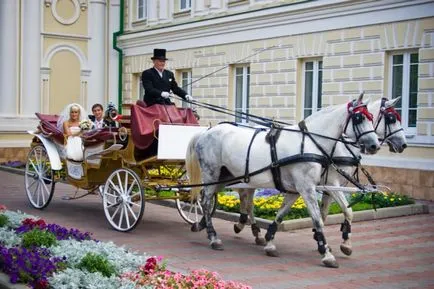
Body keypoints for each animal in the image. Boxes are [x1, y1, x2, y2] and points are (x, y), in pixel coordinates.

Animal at [186, 94, 380, 268]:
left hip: (226, 176)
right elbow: (317, 219)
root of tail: (206, 131)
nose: (375, 145)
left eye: (372, 118)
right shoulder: (307, 188)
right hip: (211, 173)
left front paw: (269, 242)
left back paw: (203, 225)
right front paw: (326, 253)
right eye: (359, 117)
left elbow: (281, 214)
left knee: (213, 198)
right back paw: (213, 237)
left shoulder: (297, 189)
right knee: (206, 200)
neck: (310, 142)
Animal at [234, 97, 406, 256]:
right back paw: (247, 226)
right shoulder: (332, 182)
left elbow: (323, 213)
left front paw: (322, 240)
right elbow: (346, 210)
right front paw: (342, 244)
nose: (403, 144)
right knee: (247, 200)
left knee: (246, 199)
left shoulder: (330, 187)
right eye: (391, 118)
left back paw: (249, 228)